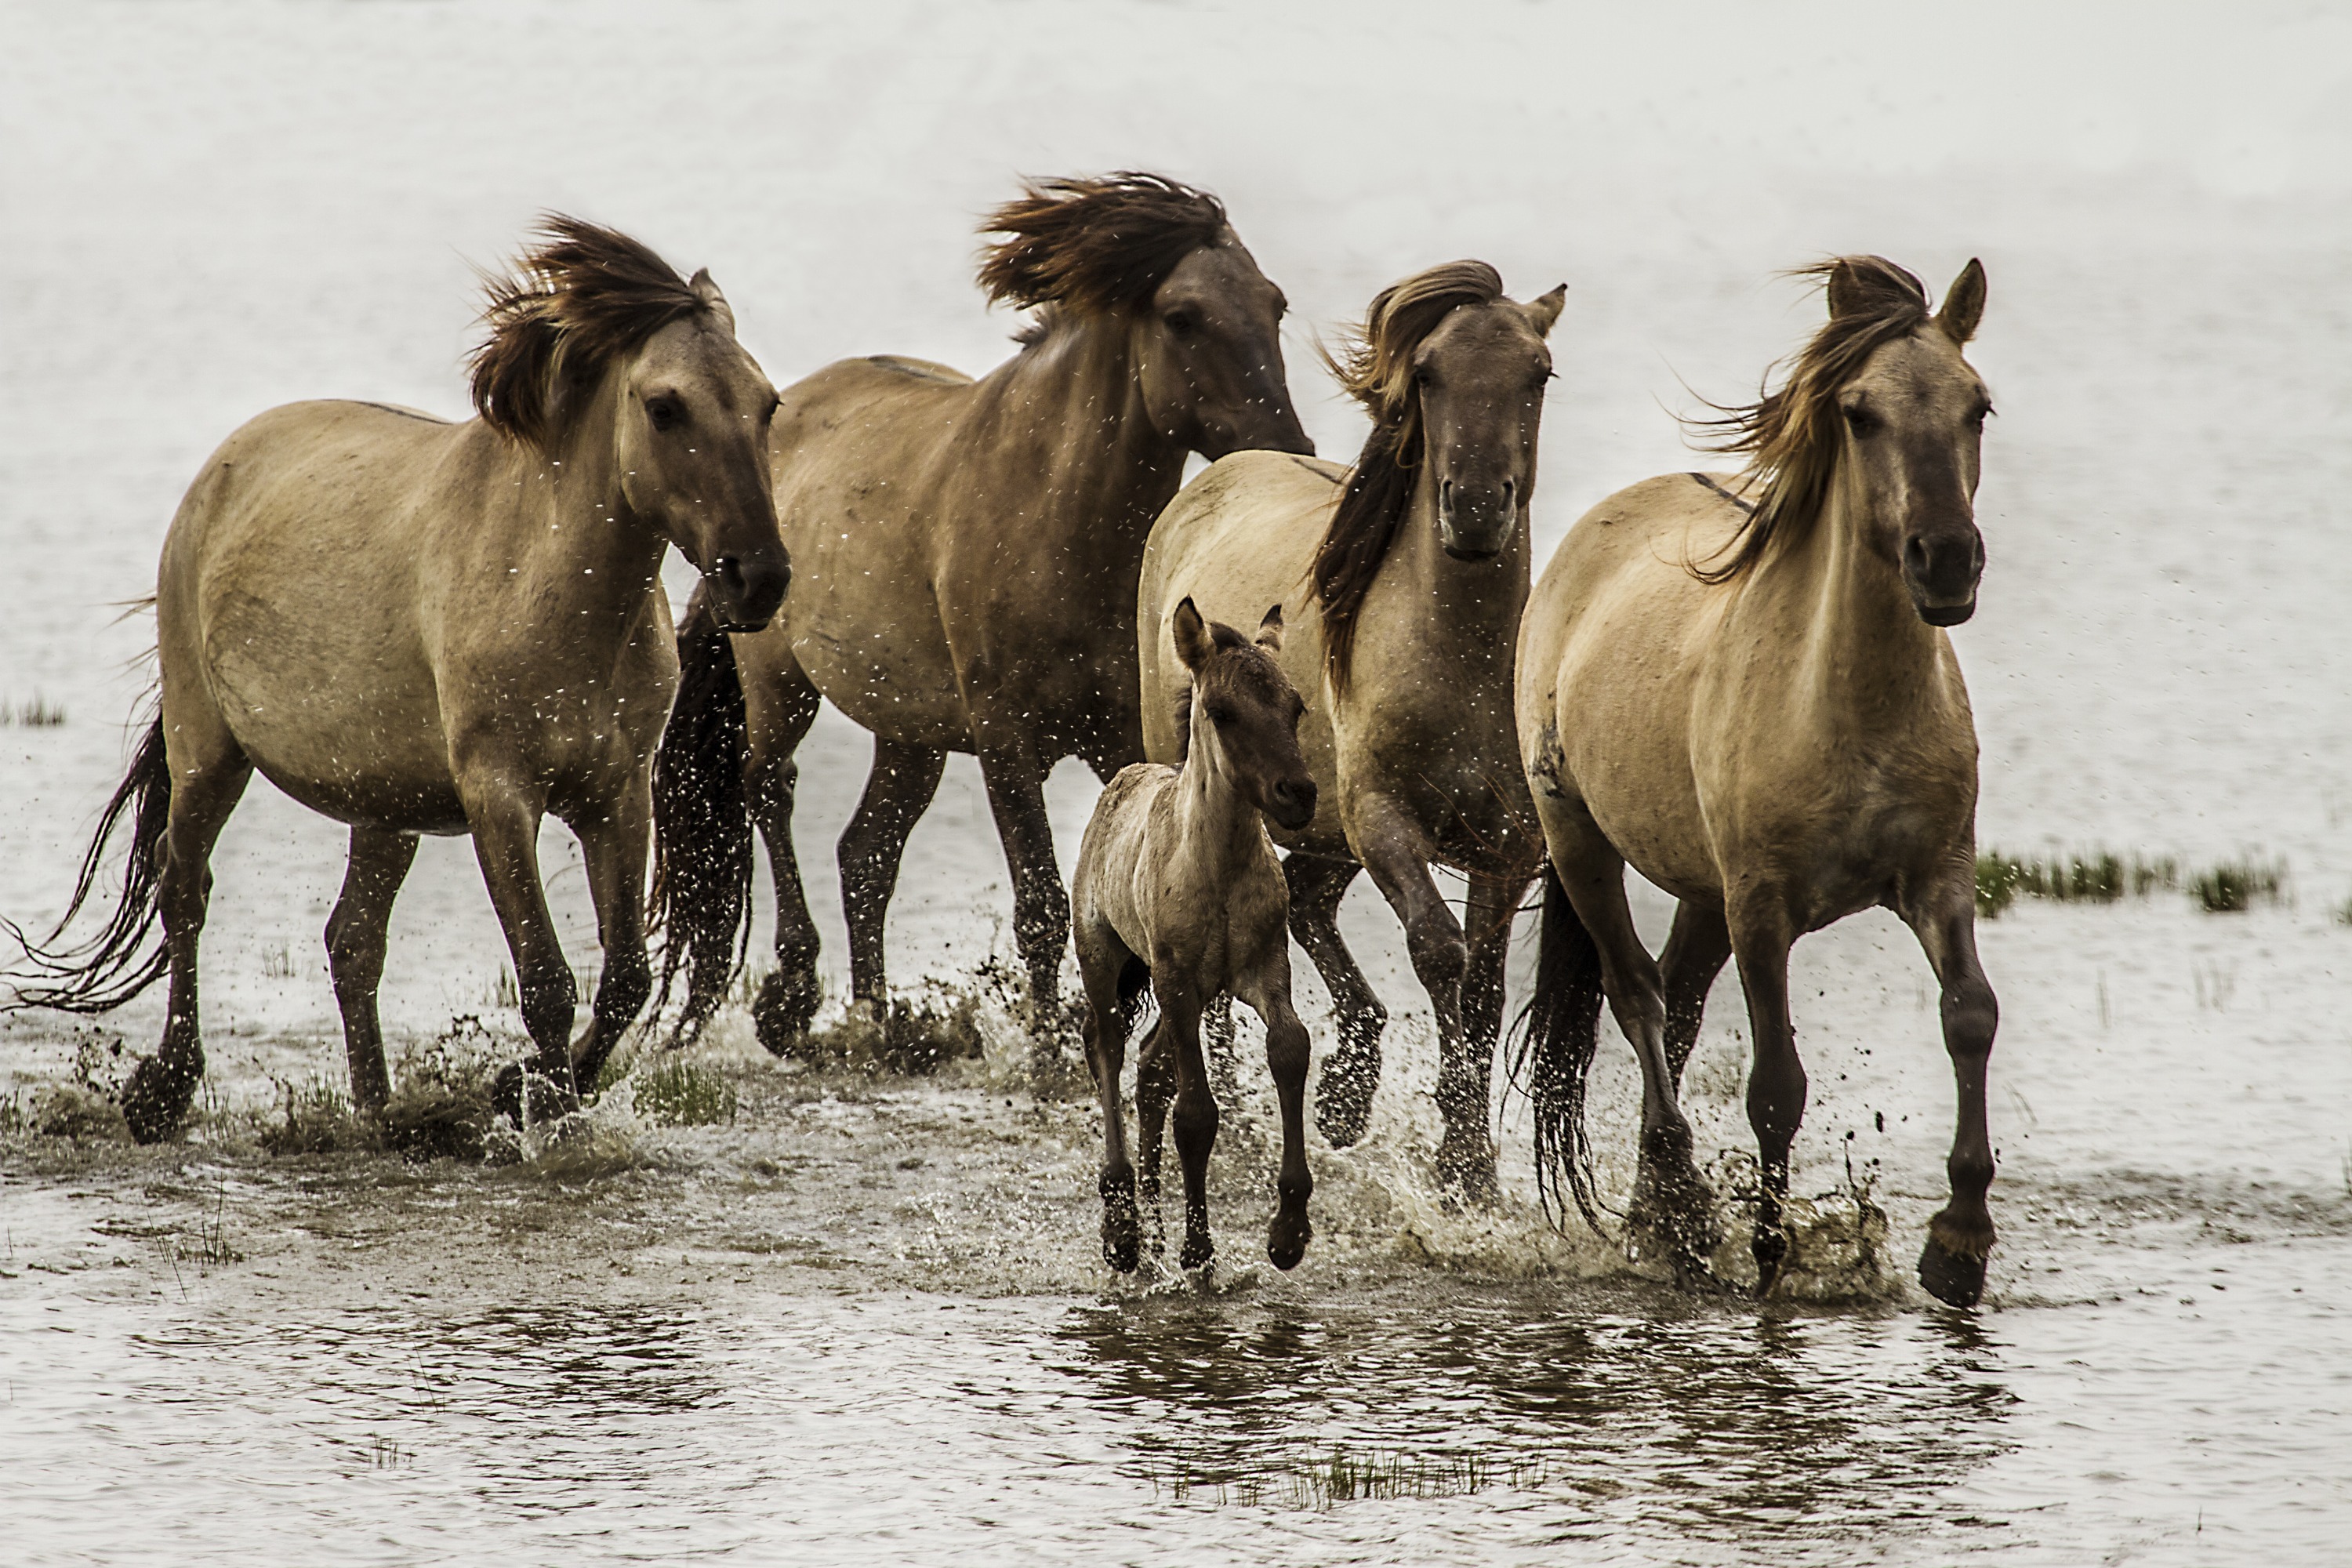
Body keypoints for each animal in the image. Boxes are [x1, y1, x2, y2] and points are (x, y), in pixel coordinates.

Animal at [6, 218, 789, 1142]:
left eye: (768, 404)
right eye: (664, 407)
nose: (759, 577)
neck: (553, 595)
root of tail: (224, 466)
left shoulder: (617, 793)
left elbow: (625, 975)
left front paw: (526, 1088)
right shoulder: (500, 794)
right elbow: (547, 980)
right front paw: (538, 1105)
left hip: (382, 802)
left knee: (352, 941)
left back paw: (378, 1110)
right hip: (210, 753)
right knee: (185, 888)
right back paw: (162, 1092)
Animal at [651, 173, 1312, 1064]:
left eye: (1274, 303)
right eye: (1182, 316)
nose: (1289, 448)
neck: (1050, 514)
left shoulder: (1117, 736)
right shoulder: (1007, 741)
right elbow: (1038, 899)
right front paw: (1050, 1051)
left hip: (911, 734)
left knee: (865, 854)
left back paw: (880, 1020)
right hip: (780, 681)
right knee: (771, 789)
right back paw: (792, 998)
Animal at [1071, 599, 1318, 1274]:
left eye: (1296, 707)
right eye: (1222, 711)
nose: (1299, 793)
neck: (1219, 867)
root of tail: (1120, 780)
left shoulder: (1263, 968)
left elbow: (1291, 1048)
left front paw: (1288, 1232)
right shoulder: (1176, 976)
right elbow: (1197, 1113)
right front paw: (1199, 1249)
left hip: (1200, 988)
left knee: (1150, 1063)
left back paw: (1152, 1231)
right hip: (1104, 956)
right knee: (1106, 1045)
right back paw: (1123, 1228)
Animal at [1136, 261, 1562, 1197]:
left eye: (1540, 372)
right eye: (1428, 374)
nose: (1475, 508)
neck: (1458, 663)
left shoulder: (1508, 847)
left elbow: (1484, 990)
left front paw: (1471, 1173)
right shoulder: (1383, 820)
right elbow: (1440, 954)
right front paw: (1459, 1153)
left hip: (1321, 819)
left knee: (1307, 898)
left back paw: (1343, 1090)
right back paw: (1237, 1106)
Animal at [1512, 255, 1998, 1307]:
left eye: (1978, 406)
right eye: (1859, 412)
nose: (1945, 560)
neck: (1849, 711)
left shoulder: (1939, 878)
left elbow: (1970, 1017)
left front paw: (1960, 1241)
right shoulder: (1764, 907)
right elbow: (1777, 1082)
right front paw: (1772, 1252)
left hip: (1703, 888)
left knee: (1679, 1010)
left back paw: (1659, 1211)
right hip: (1584, 841)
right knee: (1638, 996)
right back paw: (1687, 1211)